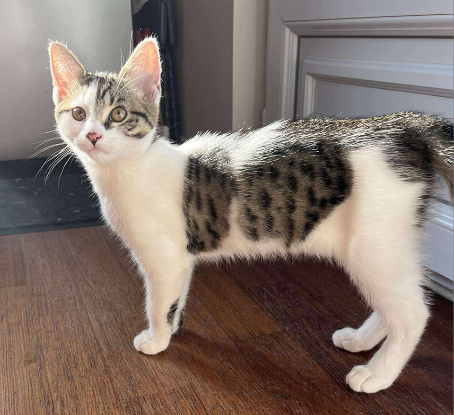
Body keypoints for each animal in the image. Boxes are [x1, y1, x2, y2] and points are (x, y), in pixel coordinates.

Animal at [48, 37, 453, 393]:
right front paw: (174, 326)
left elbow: (157, 303)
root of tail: (401, 125)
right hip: (392, 241)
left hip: (373, 243)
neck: (126, 171)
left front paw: (157, 339)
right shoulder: (182, 257)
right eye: (78, 114)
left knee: (413, 313)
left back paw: (376, 374)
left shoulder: (163, 258)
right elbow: (175, 296)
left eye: (118, 114)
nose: (92, 136)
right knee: (397, 302)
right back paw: (360, 339)